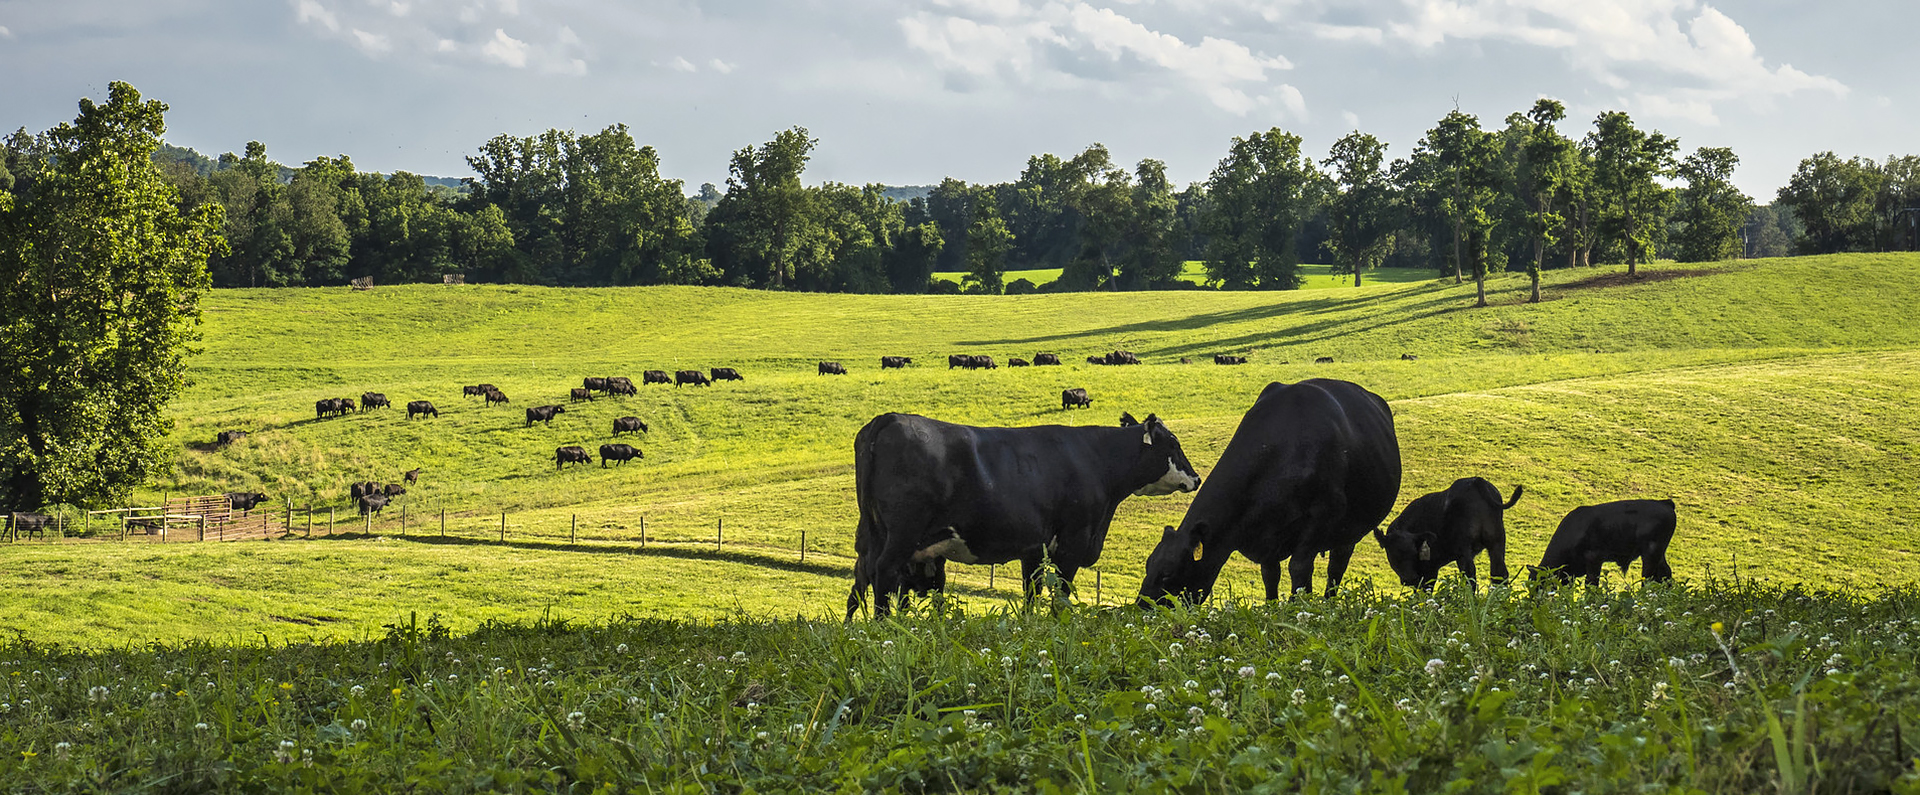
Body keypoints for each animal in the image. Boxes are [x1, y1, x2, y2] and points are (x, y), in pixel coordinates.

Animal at [844, 409, 1198, 622]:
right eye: (1174, 443)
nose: (1196, 478)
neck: (1097, 460)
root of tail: (888, 418)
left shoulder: (1033, 548)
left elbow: (1031, 593)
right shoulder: (1071, 543)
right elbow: (1061, 594)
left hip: (871, 536)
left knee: (863, 580)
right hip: (902, 533)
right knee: (884, 572)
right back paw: (884, 625)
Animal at [1128, 378, 1405, 602]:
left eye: (1167, 574)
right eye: (1148, 566)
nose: (1143, 608)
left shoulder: (1323, 515)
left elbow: (1299, 568)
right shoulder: (1265, 536)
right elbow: (1270, 575)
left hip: (1350, 529)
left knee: (1336, 568)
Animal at [1374, 478, 1520, 591]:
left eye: (1413, 553)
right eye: (1394, 554)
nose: (1409, 579)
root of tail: (1476, 480)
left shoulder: (1429, 568)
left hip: (1464, 547)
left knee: (1470, 576)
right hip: (1497, 541)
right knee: (1499, 574)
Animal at [1528, 499, 1681, 587]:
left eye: (1540, 585)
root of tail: (1664, 502)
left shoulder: (1594, 559)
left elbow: (1591, 584)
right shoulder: (1569, 572)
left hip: (1651, 552)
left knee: (1648, 578)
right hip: (1659, 553)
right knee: (1665, 573)